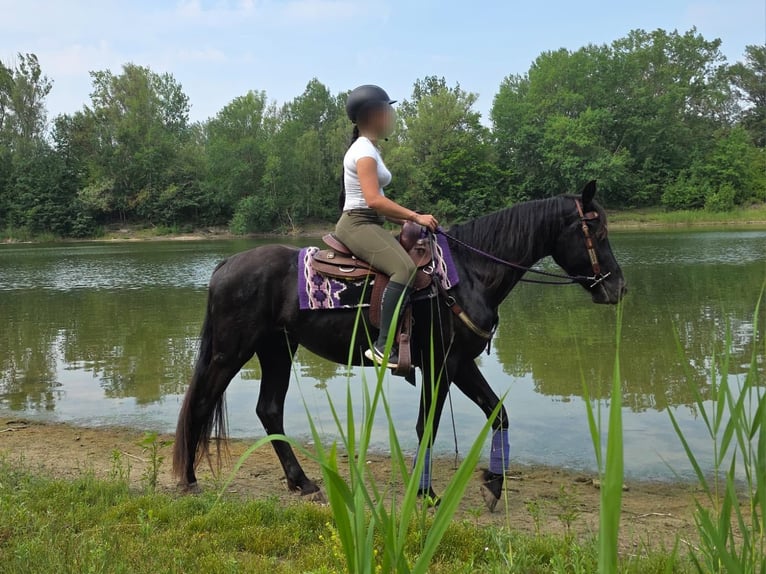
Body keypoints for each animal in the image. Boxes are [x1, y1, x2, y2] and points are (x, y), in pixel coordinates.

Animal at [172, 181, 627, 508]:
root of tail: (226, 264)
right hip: (231, 352)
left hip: (277, 350)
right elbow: (429, 426)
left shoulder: (459, 364)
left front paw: (493, 485)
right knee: (201, 404)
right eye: (598, 230)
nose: (618, 288)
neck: (468, 274)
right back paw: (189, 480)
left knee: (269, 410)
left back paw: (302, 483)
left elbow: (498, 414)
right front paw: (426, 494)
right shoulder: (442, 365)